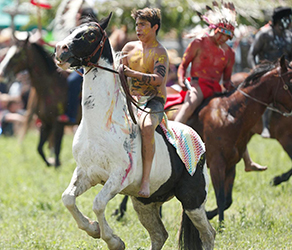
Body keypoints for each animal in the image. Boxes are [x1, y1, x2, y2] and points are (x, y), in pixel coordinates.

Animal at [0, 36, 75, 166]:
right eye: (8, 51)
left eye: (17, 54)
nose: (2, 72)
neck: (50, 86)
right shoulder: (46, 123)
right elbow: (39, 149)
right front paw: (49, 163)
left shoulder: (58, 124)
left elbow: (57, 150)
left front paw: (55, 164)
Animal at [54, 13, 214, 250]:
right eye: (73, 30)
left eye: (90, 34)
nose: (59, 50)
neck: (100, 125)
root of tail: (198, 141)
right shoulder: (86, 173)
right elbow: (68, 199)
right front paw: (93, 229)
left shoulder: (119, 177)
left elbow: (98, 203)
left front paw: (113, 240)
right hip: (145, 204)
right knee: (159, 235)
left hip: (192, 200)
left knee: (208, 234)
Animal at [163, 56, 292, 221]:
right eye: (290, 83)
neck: (229, 114)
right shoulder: (217, 165)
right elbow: (220, 198)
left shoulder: (231, 166)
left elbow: (227, 200)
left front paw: (210, 216)